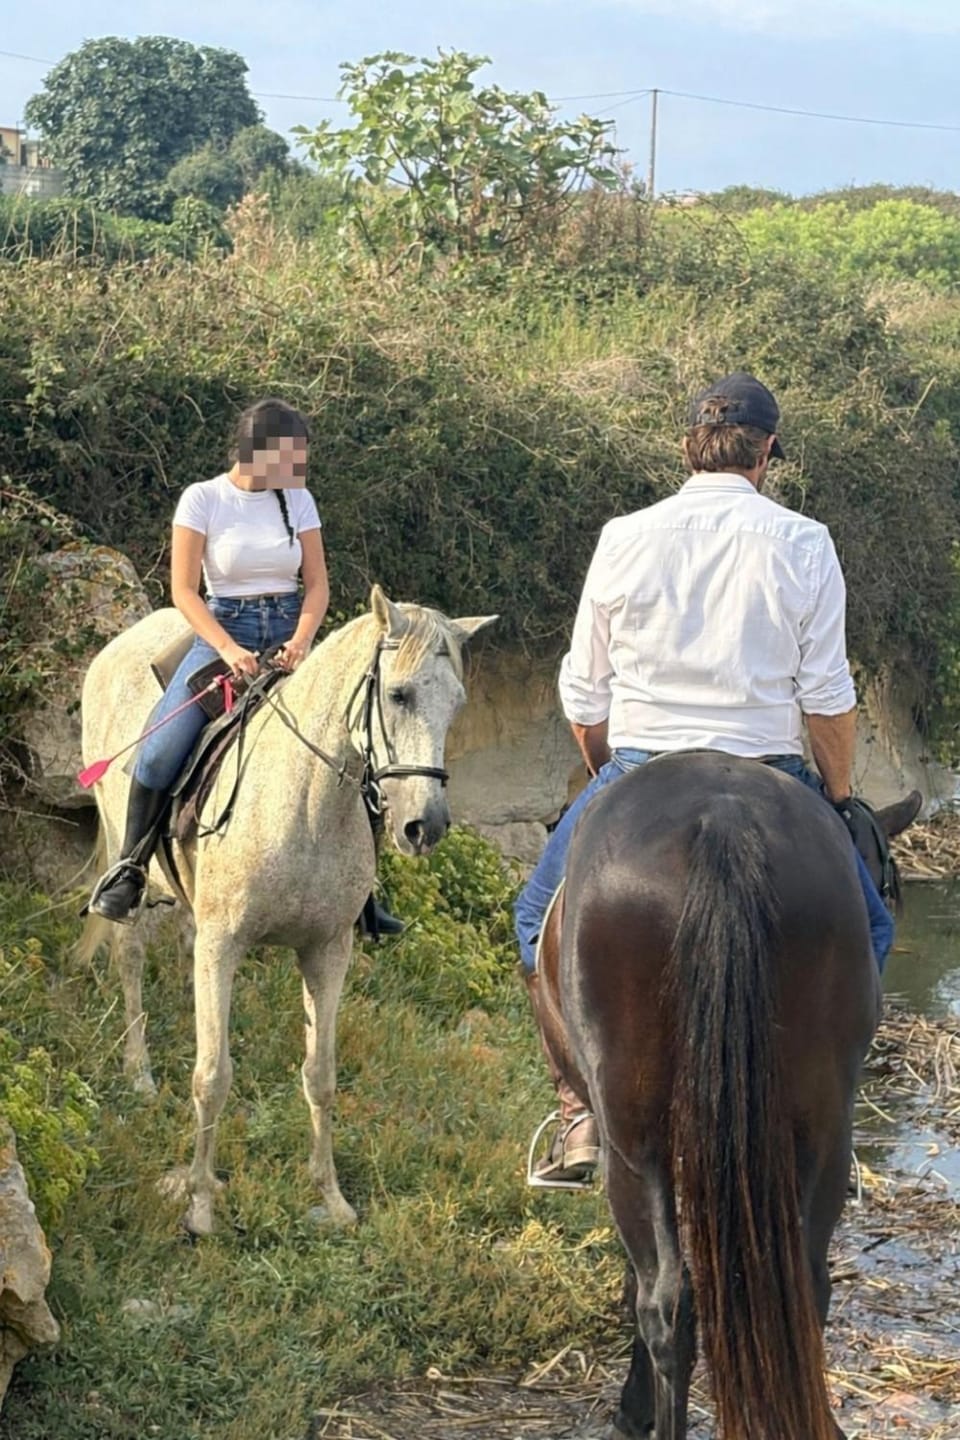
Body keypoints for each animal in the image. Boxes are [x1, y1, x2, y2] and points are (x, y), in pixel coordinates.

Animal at [77, 585, 496, 1235]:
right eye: (398, 695)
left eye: (456, 705)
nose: (424, 827)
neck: (303, 803)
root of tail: (118, 645)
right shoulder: (225, 942)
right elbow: (212, 1077)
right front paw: (200, 1204)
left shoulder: (327, 951)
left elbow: (319, 1076)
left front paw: (331, 1197)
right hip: (129, 856)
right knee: (130, 954)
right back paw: (139, 1071)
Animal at [538, 750, 917, 1440]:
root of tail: (725, 822)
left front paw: (633, 1407)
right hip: (819, 1132)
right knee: (806, 1289)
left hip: (635, 1146)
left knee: (665, 1302)